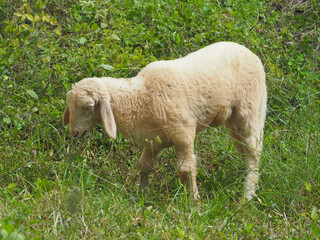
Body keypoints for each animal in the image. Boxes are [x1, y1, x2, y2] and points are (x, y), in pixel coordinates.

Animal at [63, 41, 268, 201]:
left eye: (89, 107)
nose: (74, 132)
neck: (138, 98)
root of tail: (249, 52)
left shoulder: (184, 134)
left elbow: (185, 169)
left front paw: (194, 202)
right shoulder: (153, 140)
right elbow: (144, 165)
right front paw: (142, 194)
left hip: (250, 111)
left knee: (254, 153)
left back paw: (247, 195)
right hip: (233, 122)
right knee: (246, 151)